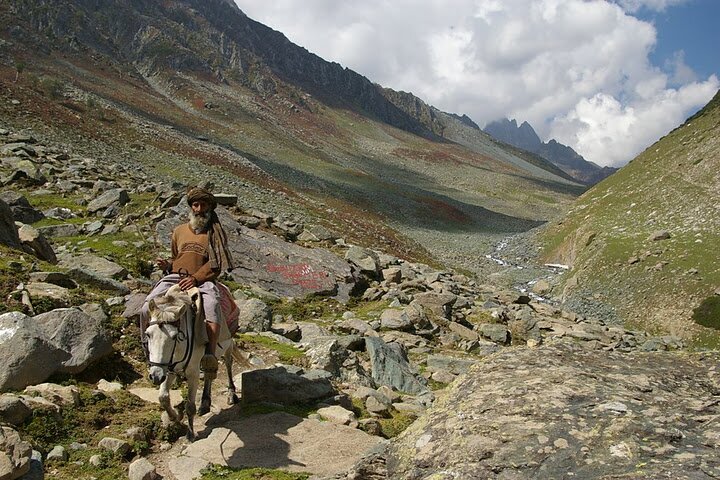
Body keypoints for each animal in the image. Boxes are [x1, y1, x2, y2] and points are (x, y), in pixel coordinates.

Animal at [146, 284, 239, 438]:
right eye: (147, 334)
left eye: (174, 336)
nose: (155, 376)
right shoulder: (169, 368)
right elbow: (163, 397)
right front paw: (175, 417)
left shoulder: (193, 373)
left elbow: (189, 405)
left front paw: (190, 434)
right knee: (208, 373)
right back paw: (205, 403)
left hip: (229, 344)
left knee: (228, 364)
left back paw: (232, 394)